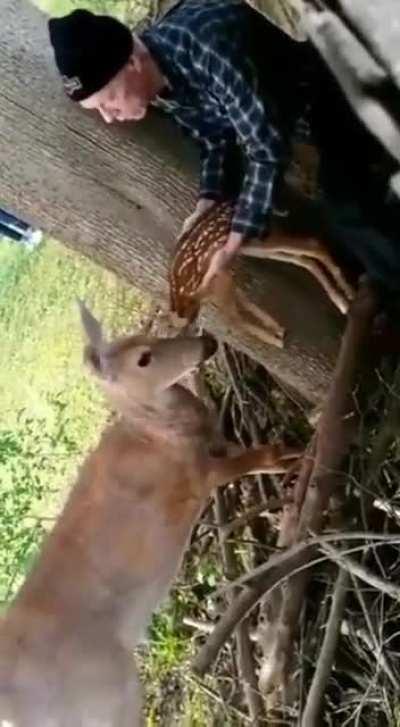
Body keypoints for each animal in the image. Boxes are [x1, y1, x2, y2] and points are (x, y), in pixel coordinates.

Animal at [0, 302, 301, 727]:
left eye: (146, 338)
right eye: (143, 359)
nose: (207, 343)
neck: (159, 433)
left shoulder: (213, 446)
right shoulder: (199, 475)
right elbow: (260, 457)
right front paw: (297, 455)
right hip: (107, 694)